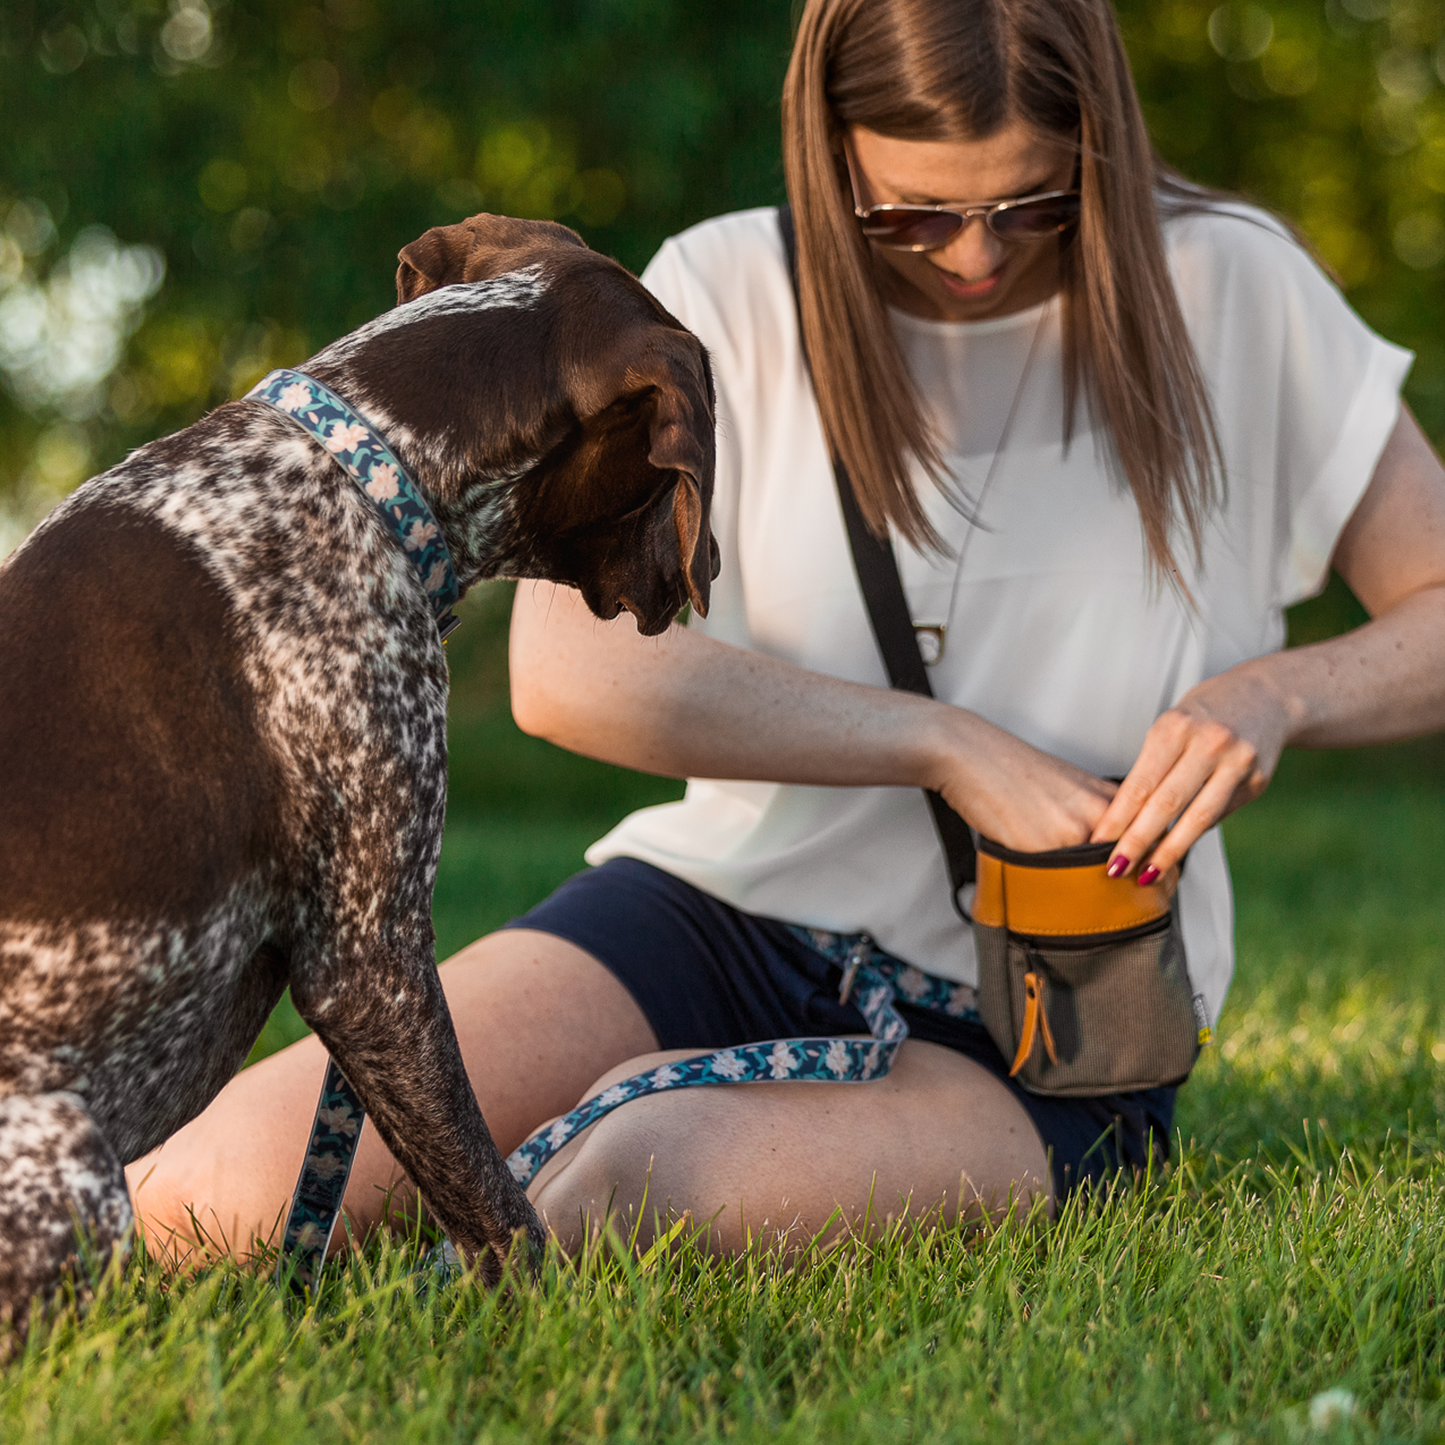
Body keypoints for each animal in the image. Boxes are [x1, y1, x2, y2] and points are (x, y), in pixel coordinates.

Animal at [0, 210, 719, 1329]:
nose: (702, 572)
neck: (364, 470)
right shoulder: (368, 962)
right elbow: (490, 1197)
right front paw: (556, 1323)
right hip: (65, 1151)